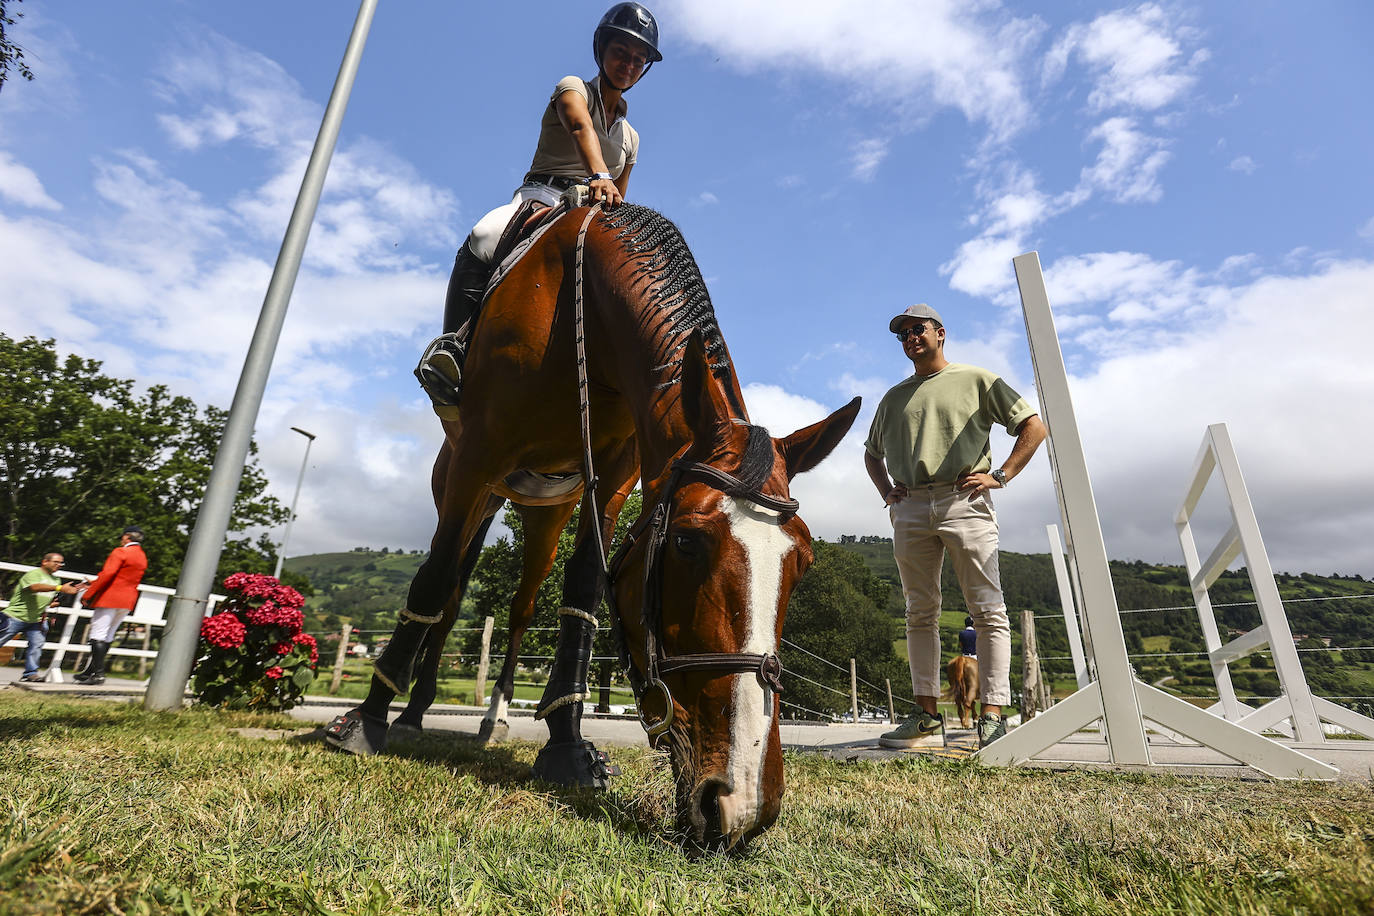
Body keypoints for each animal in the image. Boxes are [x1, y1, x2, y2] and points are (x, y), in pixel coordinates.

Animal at [325, 204, 851, 851]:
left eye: (802, 561)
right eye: (686, 542)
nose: (744, 805)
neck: (585, 315)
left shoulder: (618, 469)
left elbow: (583, 589)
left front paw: (567, 746)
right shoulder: (477, 452)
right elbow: (434, 581)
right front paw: (366, 721)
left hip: (544, 509)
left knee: (521, 607)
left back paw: (494, 719)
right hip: (470, 488)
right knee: (448, 587)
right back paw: (412, 711)